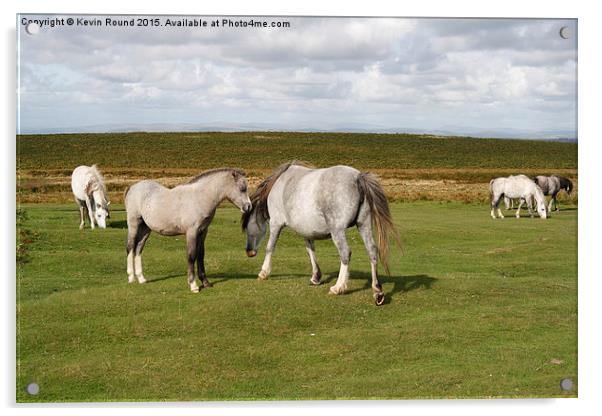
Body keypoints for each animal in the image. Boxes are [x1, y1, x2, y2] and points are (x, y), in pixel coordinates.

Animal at [239, 162, 398, 306]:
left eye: (247, 227)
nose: (249, 252)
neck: (282, 182)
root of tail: (358, 177)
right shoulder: (306, 230)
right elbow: (310, 251)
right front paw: (316, 277)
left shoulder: (276, 224)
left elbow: (270, 247)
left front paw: (264, 272)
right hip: (363, 224)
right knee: (372, 251)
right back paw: (377, 292)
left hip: (337, 231)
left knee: (345, 253)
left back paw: (338, 287)